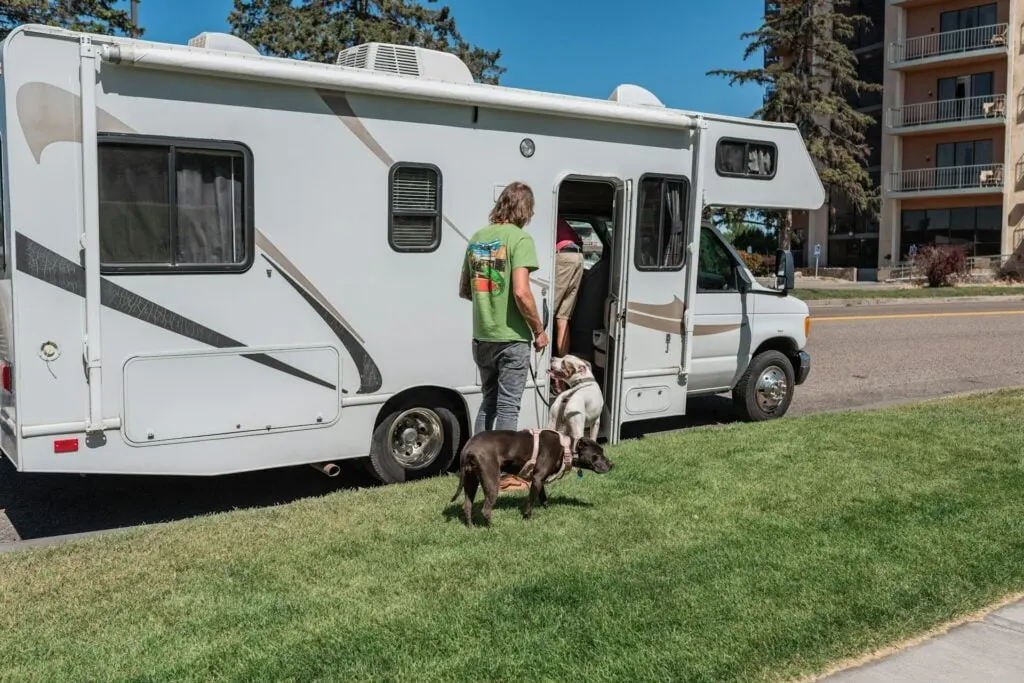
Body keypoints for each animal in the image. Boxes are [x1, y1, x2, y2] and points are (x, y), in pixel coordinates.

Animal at [446, 428, 606, 528]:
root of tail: (468, 447)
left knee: (467, 506)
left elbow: (543, 498)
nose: (610, 464)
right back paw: (492, 529)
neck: (567, 449)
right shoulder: (537, 479)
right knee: (485, 510)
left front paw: (547, 510)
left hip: (471, 481)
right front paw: (527, 518)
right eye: (597, 455)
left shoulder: (539, 480)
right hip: (491, 481)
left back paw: (471, 527)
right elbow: (531, 502)